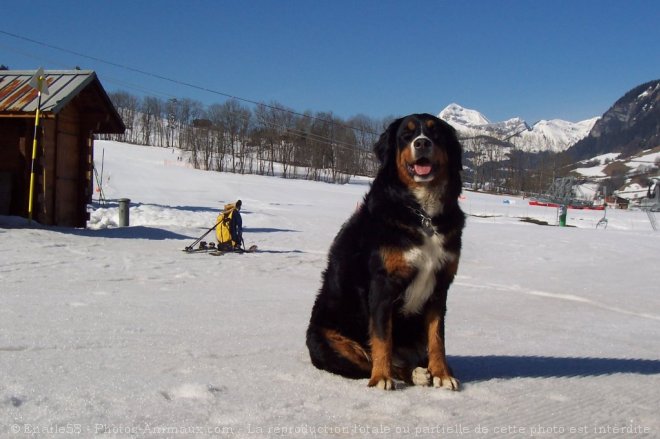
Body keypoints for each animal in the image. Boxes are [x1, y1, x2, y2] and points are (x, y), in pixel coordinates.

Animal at [306, 113, 464, 392]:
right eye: (406, 135)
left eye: (435, 134)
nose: (422, 143)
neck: (423, 215)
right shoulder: (383, 283)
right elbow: (382, 337)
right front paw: (381, 378)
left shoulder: (440, 285)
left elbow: (437, 337)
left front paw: (442, 374)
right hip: (329, 340)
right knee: (368, 359)